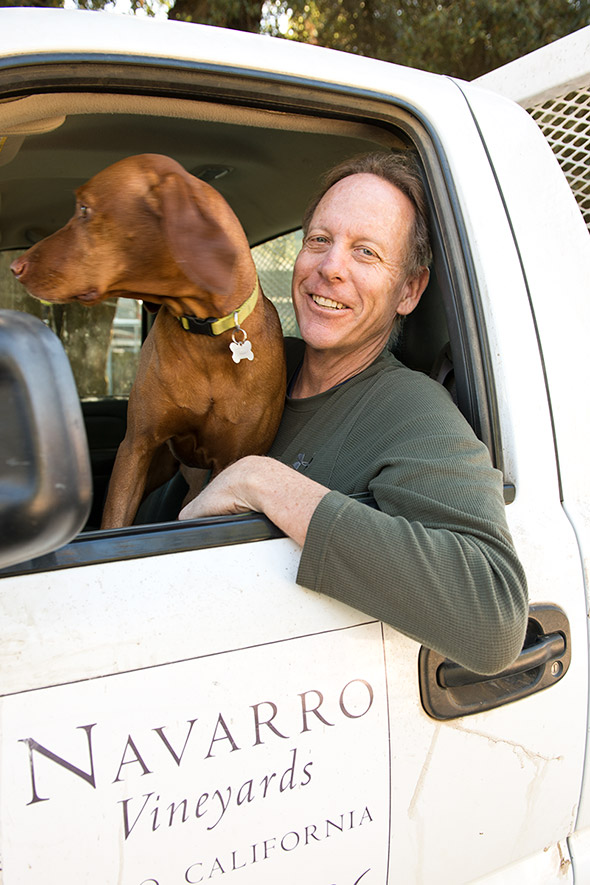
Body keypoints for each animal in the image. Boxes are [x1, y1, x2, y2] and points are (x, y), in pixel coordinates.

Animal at [9, 154, 286, 524]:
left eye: (83, 208)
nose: (15, 266)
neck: (205, 333)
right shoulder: (137, 445)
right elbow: (115, 517)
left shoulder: (234, 461)